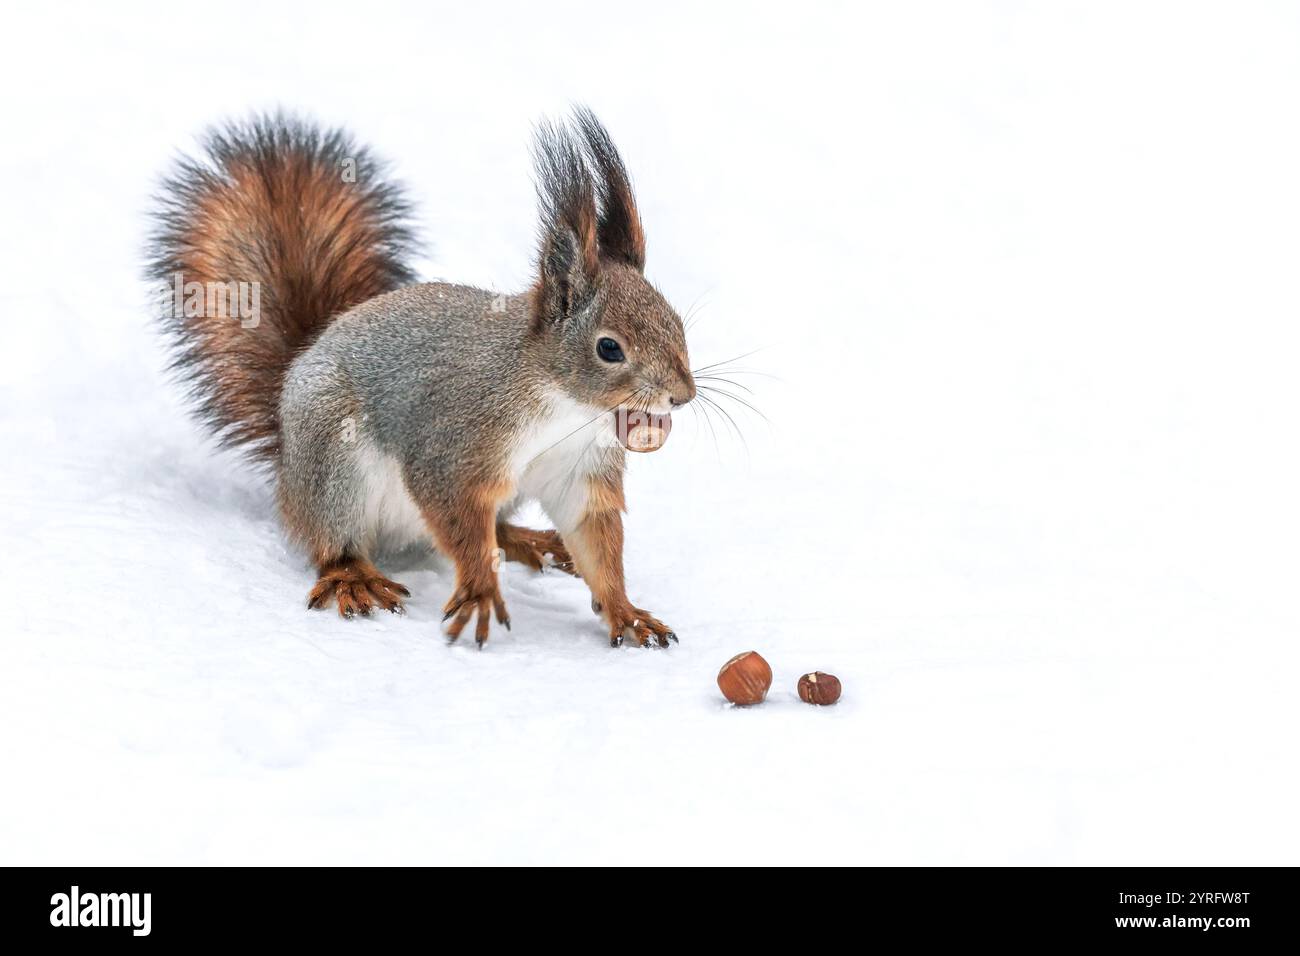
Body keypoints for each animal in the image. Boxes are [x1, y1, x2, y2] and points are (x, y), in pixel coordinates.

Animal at [147, 110, 696, 648]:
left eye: (676, 323)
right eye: (609, 348)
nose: (683, 396)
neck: (565, 406)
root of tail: (287, 463)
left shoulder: (579, 469)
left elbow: (595, 539)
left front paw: (626, 613)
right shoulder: (455, 444)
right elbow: (454, 510)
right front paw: (480, 589)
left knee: (495, 524)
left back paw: (523, 538)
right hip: (334, 462)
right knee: (332, 543)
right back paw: (353, 577)